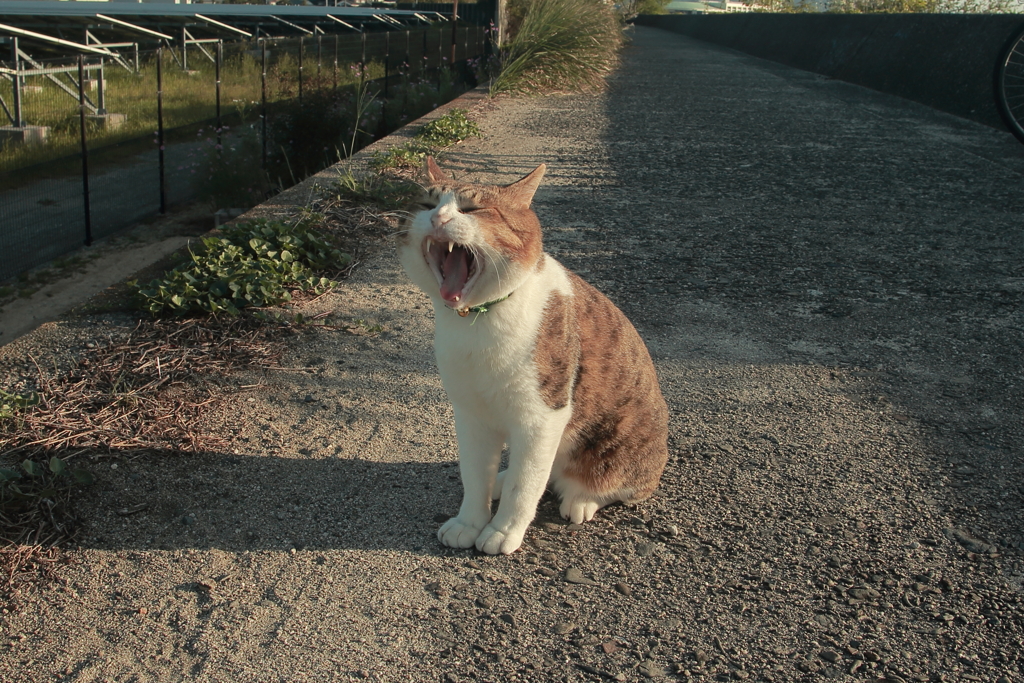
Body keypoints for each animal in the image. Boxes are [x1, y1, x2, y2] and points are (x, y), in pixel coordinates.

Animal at [395, 158, 667, 557]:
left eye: (472, 209)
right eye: (426, 204)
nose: (438, 218)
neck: (479, 320)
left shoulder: (543, 417)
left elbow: (525, 486)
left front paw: (503, 530)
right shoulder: (470, 413)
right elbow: (474, 473)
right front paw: (469, 522)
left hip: (620, 442)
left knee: (614, 484)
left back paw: (581, 498)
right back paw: (503, 478)